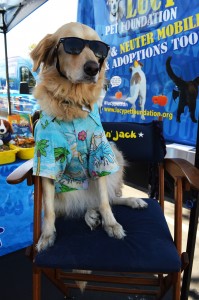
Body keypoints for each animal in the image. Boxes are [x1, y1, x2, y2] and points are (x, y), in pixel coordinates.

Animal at [29, 21, 148, 252]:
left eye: (98, 50)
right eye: (72, 46)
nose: (93, 68)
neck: (71, 101)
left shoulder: (99, 153)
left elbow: (104, 200)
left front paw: (111, 224)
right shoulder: (47, 159)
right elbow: (48, 210)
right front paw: (47, 236)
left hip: (115, 153)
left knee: (108, 198)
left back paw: (128, 203)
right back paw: (91, 214)